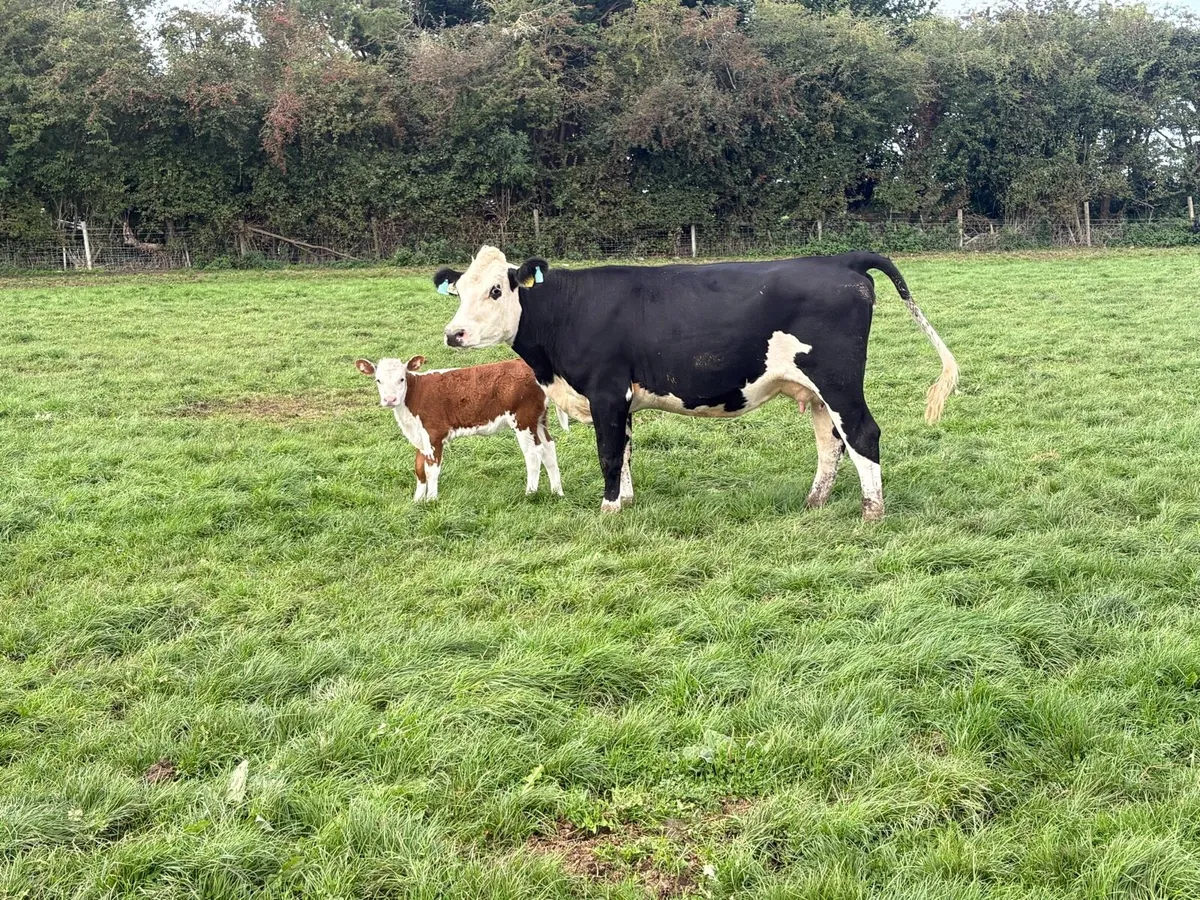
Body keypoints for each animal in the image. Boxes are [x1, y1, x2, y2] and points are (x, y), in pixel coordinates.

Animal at [355, 355, 567, 502]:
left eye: (401, 379)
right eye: (378, 380)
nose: (390, 399)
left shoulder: (434, 433)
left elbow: (432, 470)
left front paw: (431, 500)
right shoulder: (419, 437)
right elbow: (419, 469)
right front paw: (417, 501)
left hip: (524, 420)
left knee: (533, 454)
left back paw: (530, 493)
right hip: (539, 420)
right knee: (549, 449)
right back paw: (557, 491)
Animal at [435, 247, 958, 520]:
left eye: (496, 290)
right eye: (457, 291)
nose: (453, 334)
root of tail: (838, 259)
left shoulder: (606, 391)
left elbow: (608, 453)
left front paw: (608, 510)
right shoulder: (622, 399)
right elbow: (625, 449)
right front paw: (626, 500)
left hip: (839, 380)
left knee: (863, 434)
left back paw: (872, 512)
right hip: (815, 391)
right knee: (830, 443)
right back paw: (814, 502)